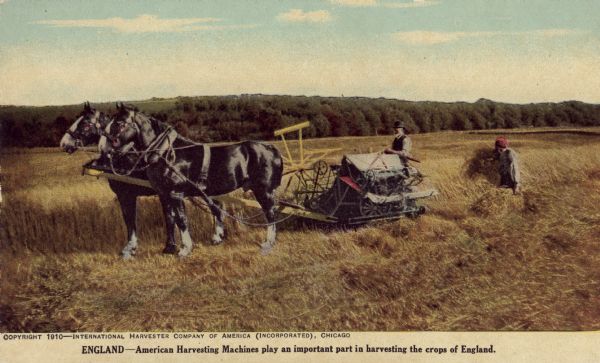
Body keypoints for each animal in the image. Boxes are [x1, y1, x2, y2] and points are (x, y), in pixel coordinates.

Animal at [105, 102, 284, 256]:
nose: (107, 150)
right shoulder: (164, 194)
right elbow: (171, 218)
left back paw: (268, 242)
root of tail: (271, 148)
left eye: (119, 123)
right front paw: (170, 248)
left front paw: (185, 249)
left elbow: (181, 219)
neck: (168, 153)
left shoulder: (176, 193)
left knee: (270, 214)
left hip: (263, 190)